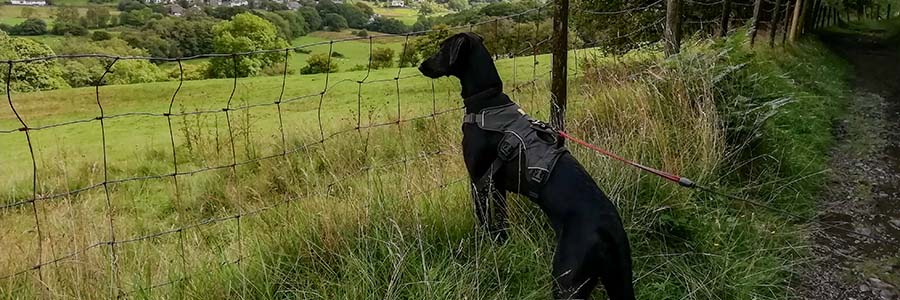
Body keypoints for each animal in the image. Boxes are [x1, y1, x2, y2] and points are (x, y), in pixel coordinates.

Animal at [420, 31, 636, 298]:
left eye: (442, 49)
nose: (421, 66)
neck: (487, 100)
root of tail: (609, 228)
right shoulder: (497, 187)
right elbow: (501, 223)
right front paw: (501, 246)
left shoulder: (478, 180)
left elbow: (483, 221)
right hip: (619, 281)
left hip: (566, 280)